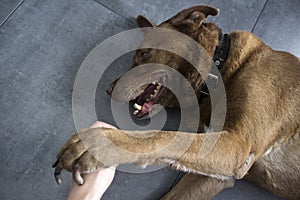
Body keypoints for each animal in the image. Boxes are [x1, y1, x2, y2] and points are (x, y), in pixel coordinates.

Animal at [53, 5, 300, 199]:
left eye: (143, 55)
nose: (108, 90)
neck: (219, 67)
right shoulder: (216, 175)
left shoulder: (238, 145)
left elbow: (164, 137)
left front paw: (100, 144)